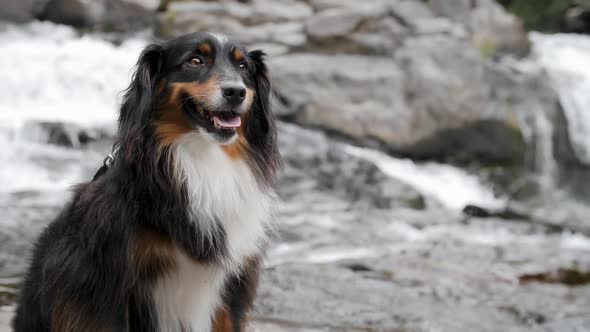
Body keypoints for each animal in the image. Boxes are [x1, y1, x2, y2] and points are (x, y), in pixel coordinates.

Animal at [12, 31, 280, 332]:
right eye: (194, 61)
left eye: (243, 67)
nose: (235, 92)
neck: (201, 157)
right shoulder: (104, 286)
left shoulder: (234, 286)